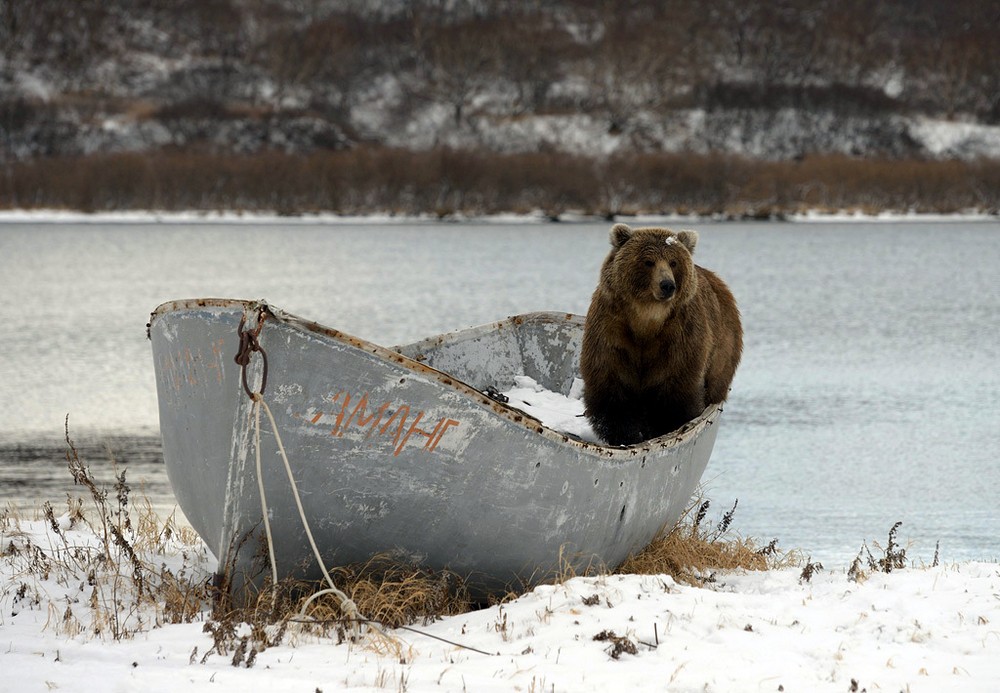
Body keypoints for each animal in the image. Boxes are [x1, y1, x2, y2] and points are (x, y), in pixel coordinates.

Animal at [580, 224, 744, 446]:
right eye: (648, 261)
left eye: (673, 262)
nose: (667, 285)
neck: (647, 319)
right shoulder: (612, 330)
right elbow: (612, 388)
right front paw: (626, 435)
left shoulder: (679, 337)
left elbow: (673, 392)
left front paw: (662, 428)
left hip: (723, 351)